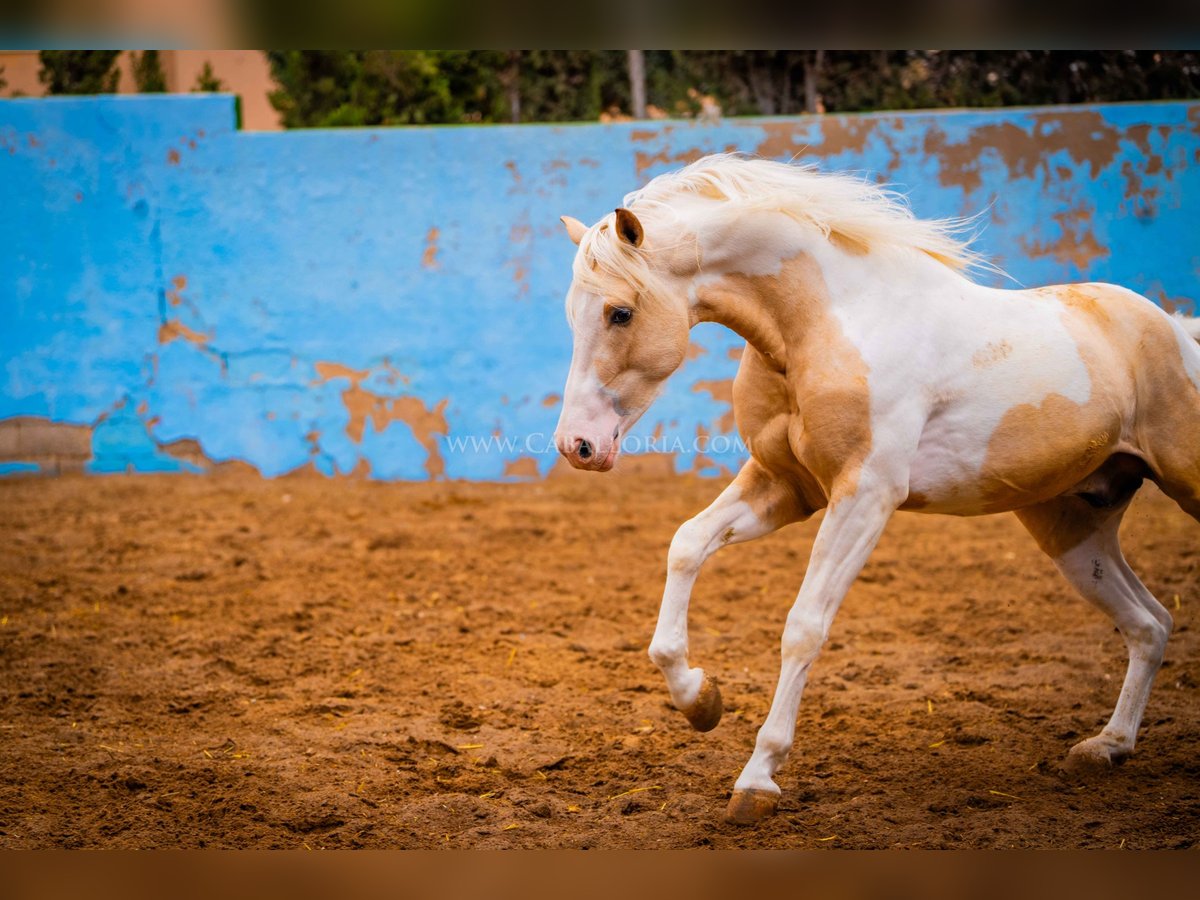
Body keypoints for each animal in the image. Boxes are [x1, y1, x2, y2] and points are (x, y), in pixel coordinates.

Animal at [552, 151, 1200, 830]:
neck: (827, 322)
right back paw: (1107, 746)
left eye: (620, 312)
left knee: (1150, 621)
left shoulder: (865, 496)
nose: (577, 445)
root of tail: (1177, 333)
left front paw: (757, 779)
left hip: (1179, 484)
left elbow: (804, 625)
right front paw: (701, 700)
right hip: (1072, 531)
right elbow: (685, 545)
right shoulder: (784, 486)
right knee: (1150, 624)